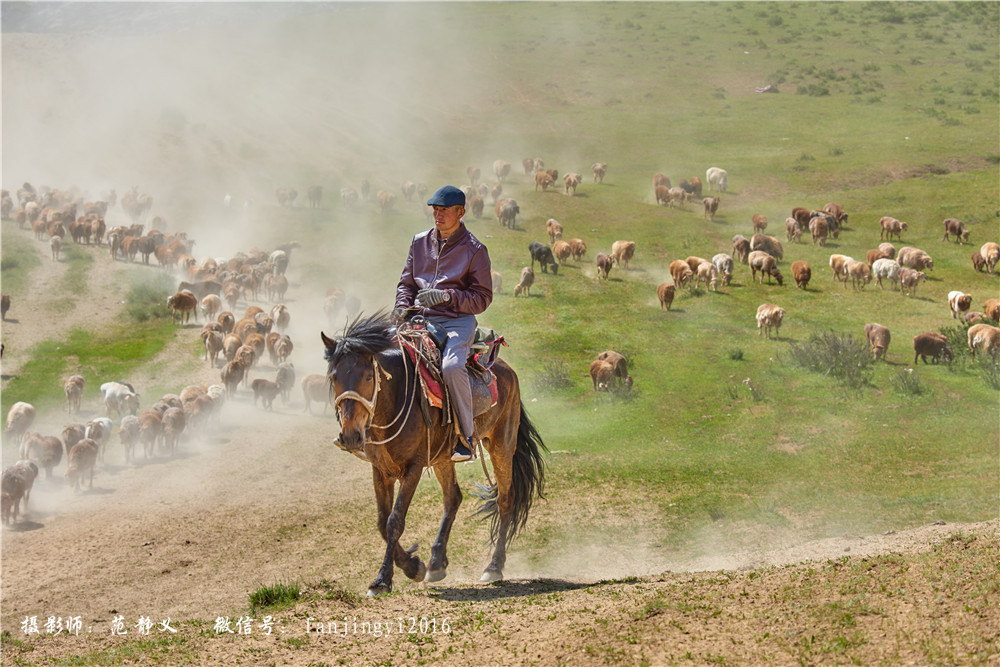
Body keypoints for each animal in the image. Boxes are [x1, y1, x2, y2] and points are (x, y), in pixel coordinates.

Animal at [322, 316, 548, 596]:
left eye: (367, 376)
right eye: (334, 377)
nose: (351, 435)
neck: (394, 398)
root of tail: (507, 371)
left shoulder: (414, 467)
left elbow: (394, 521)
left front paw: (383, 579)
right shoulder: (380, 469)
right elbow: (382, 522)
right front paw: (413, 565)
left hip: (501, 445)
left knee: (506, 500)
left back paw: (494, 567)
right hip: (442, 457)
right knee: (453, 498)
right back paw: (437, 563)